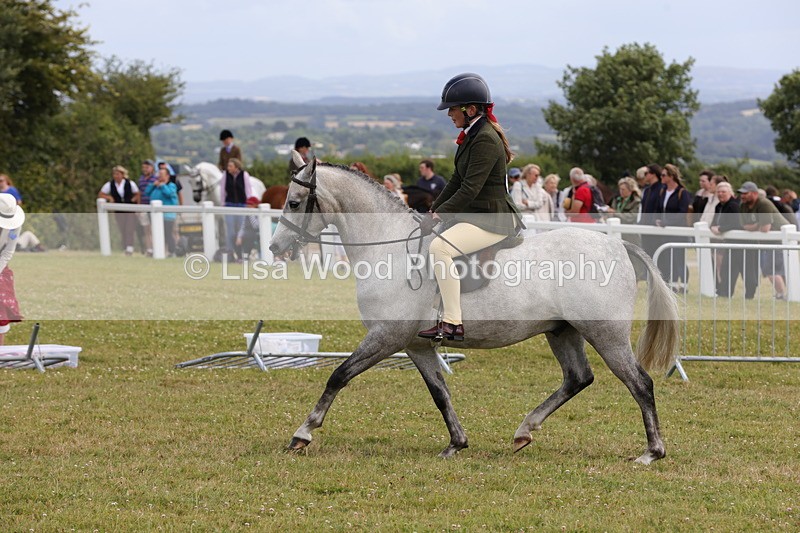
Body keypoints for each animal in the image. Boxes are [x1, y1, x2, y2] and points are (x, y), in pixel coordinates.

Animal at [268, 159, 680, 464]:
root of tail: (620, 246)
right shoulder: (417, 345)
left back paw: (652, 452)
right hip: (562, 331)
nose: (275, 247)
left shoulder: (386, 336)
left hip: (605, 333)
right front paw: (456, 443)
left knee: (639, 383)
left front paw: (303, 433)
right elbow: (440, 393)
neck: (389, 247)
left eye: (294, 202)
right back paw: (524, 431)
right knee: (578, 378)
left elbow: (339, 375)